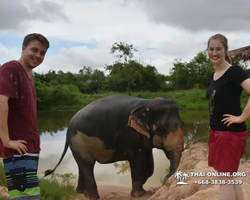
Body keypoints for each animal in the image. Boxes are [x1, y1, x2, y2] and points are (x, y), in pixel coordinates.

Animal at [44, 94, 184, 199]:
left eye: (182, 124)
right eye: (162, 129)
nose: (166, 177)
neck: (146, 103)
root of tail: (68, 128)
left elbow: (150, 165)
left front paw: (143, 184)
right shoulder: (128, 134)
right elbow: (138, 160)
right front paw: (139, 194)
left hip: (76, 143)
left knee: (81, 165)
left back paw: (81, 192)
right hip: (78, 141)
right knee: (87, 164)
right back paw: (91, 197)